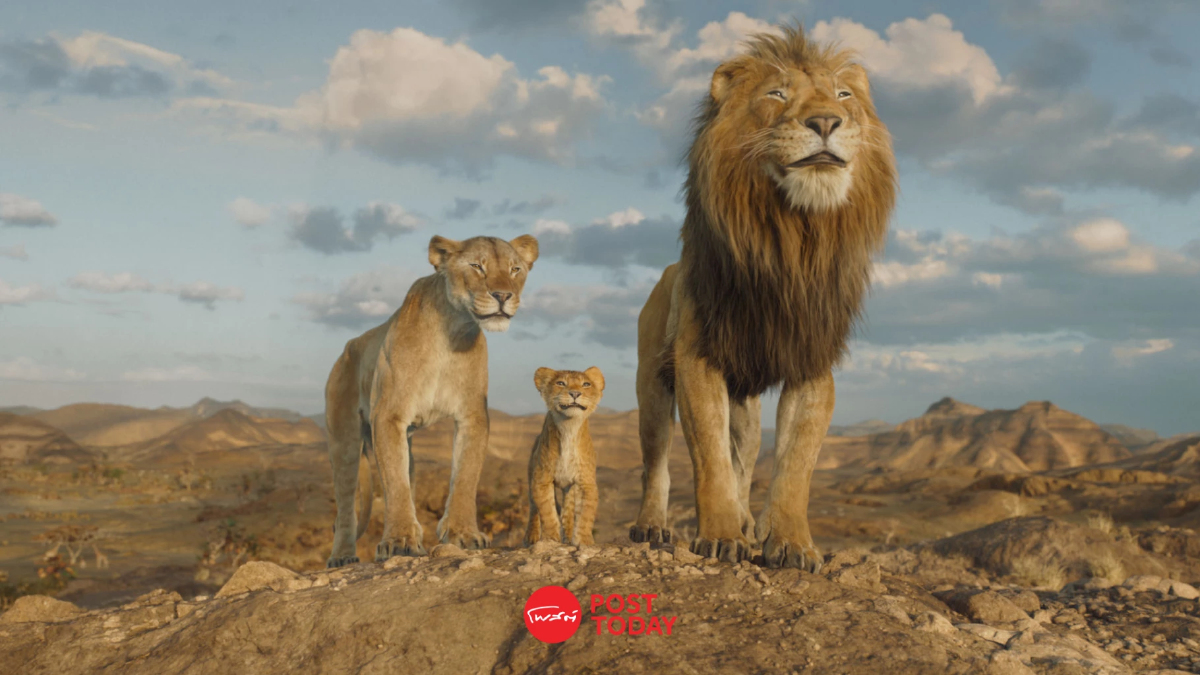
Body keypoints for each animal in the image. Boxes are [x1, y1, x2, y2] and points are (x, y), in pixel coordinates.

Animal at [324, 234, 539, 568]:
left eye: (515, 269)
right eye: (477, 266)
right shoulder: (389, 415)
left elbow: (465, 476)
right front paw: (399, 541)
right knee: (347, 504)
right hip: (343, 439)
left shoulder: (472, 415)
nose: (503, 295)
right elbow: (395, 484)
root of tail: (348, 347)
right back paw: (342, 556)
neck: (451, 330)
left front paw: (463, 533)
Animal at [524, 366, 605, 547]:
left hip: (570, 488)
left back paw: (567, 536)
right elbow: (547, 512)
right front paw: (550, 539)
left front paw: (584, 541)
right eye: (561, 383)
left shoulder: (586, 482)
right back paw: (531, 537)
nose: (575, 393)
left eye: (586, 384)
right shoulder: (541, 480)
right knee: (533, 508)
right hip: (531, 476)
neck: (569, 427)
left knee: (568, 513)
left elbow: (585, 515)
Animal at [629, 25, 897, 570]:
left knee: (745, 459)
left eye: (844, 96)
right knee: (657, 461)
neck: (792, 239)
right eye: (776, 94)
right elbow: (709, 459)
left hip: (746, 407)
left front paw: (791, 543)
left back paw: (748, 521)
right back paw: (652, 526)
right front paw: (720, 535)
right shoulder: (697, 358)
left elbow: (795, 464)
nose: (826, 122)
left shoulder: (811, 361)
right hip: (651, 384)